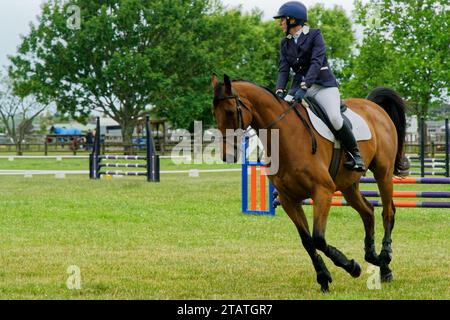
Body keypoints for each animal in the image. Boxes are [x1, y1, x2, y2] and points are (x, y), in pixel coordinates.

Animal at [211, 73, 408, 292]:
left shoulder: (323, 192)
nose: (227, 155)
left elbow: (318, 238)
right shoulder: (288, 199)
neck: (286, 137)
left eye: (229, 111)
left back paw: (385, 262)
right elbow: (307, 240)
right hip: (348, 185)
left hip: (383, 173)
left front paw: (351, 267)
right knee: (368, 211)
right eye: (214, 113)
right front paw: (324, 277)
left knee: (388, 212)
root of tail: (374, 107)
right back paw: (373, 257)